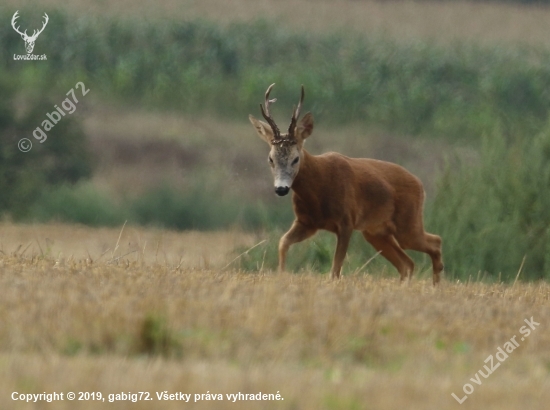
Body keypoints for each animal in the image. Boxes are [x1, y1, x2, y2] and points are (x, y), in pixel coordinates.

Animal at [250, 84, 444, 286]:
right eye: (270, 159)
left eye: (295, 159)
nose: (281, 189)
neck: (318, 187)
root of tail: (420, 184)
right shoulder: (307, 222)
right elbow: (282, 242)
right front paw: (281, 277)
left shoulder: (346, 220)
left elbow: (335, 269)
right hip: (376, 232)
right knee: (407, 263)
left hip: (407, 222)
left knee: (435, 242)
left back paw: (435, 285)